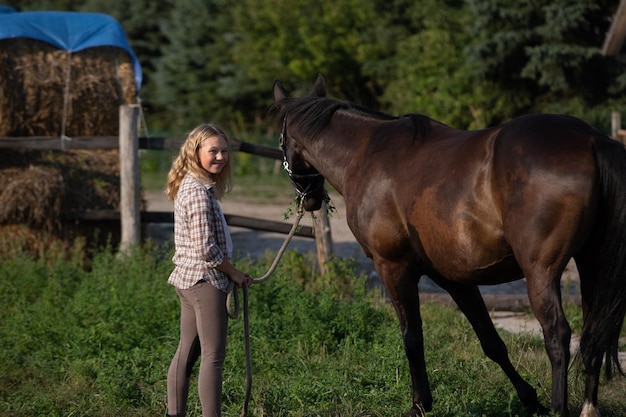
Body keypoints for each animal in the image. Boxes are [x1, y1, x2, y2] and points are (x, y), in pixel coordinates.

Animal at [272, 75, 624, 416]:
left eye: (281, 140)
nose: (310, 198)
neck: (366, 155)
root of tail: (592, 140)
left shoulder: (393, 268)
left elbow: (412, 337)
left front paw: (419, 404)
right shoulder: (453, 277)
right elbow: (491, 341)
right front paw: (529, 400)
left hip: (540, 272)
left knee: (558, 335)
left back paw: (559, 407)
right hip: (591, 264)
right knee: (593, 332)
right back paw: (588, 407)